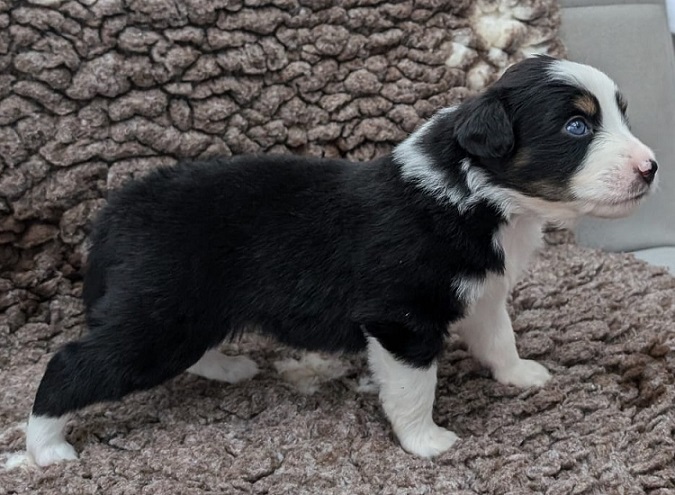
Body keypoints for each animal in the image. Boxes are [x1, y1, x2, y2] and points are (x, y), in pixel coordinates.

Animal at [25, 56, 658, 466]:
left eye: (621, 115)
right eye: (576, 125)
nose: (652, 167)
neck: (479, 193)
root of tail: (120, 208)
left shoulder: (481, 291)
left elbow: (499, 337)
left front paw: (521, 375)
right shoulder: (401, 319)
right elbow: (413, 388)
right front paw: (426, 443)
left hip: (185, 314)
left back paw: (228, 368)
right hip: (159, 316)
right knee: (69, 365)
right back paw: (46, 449)